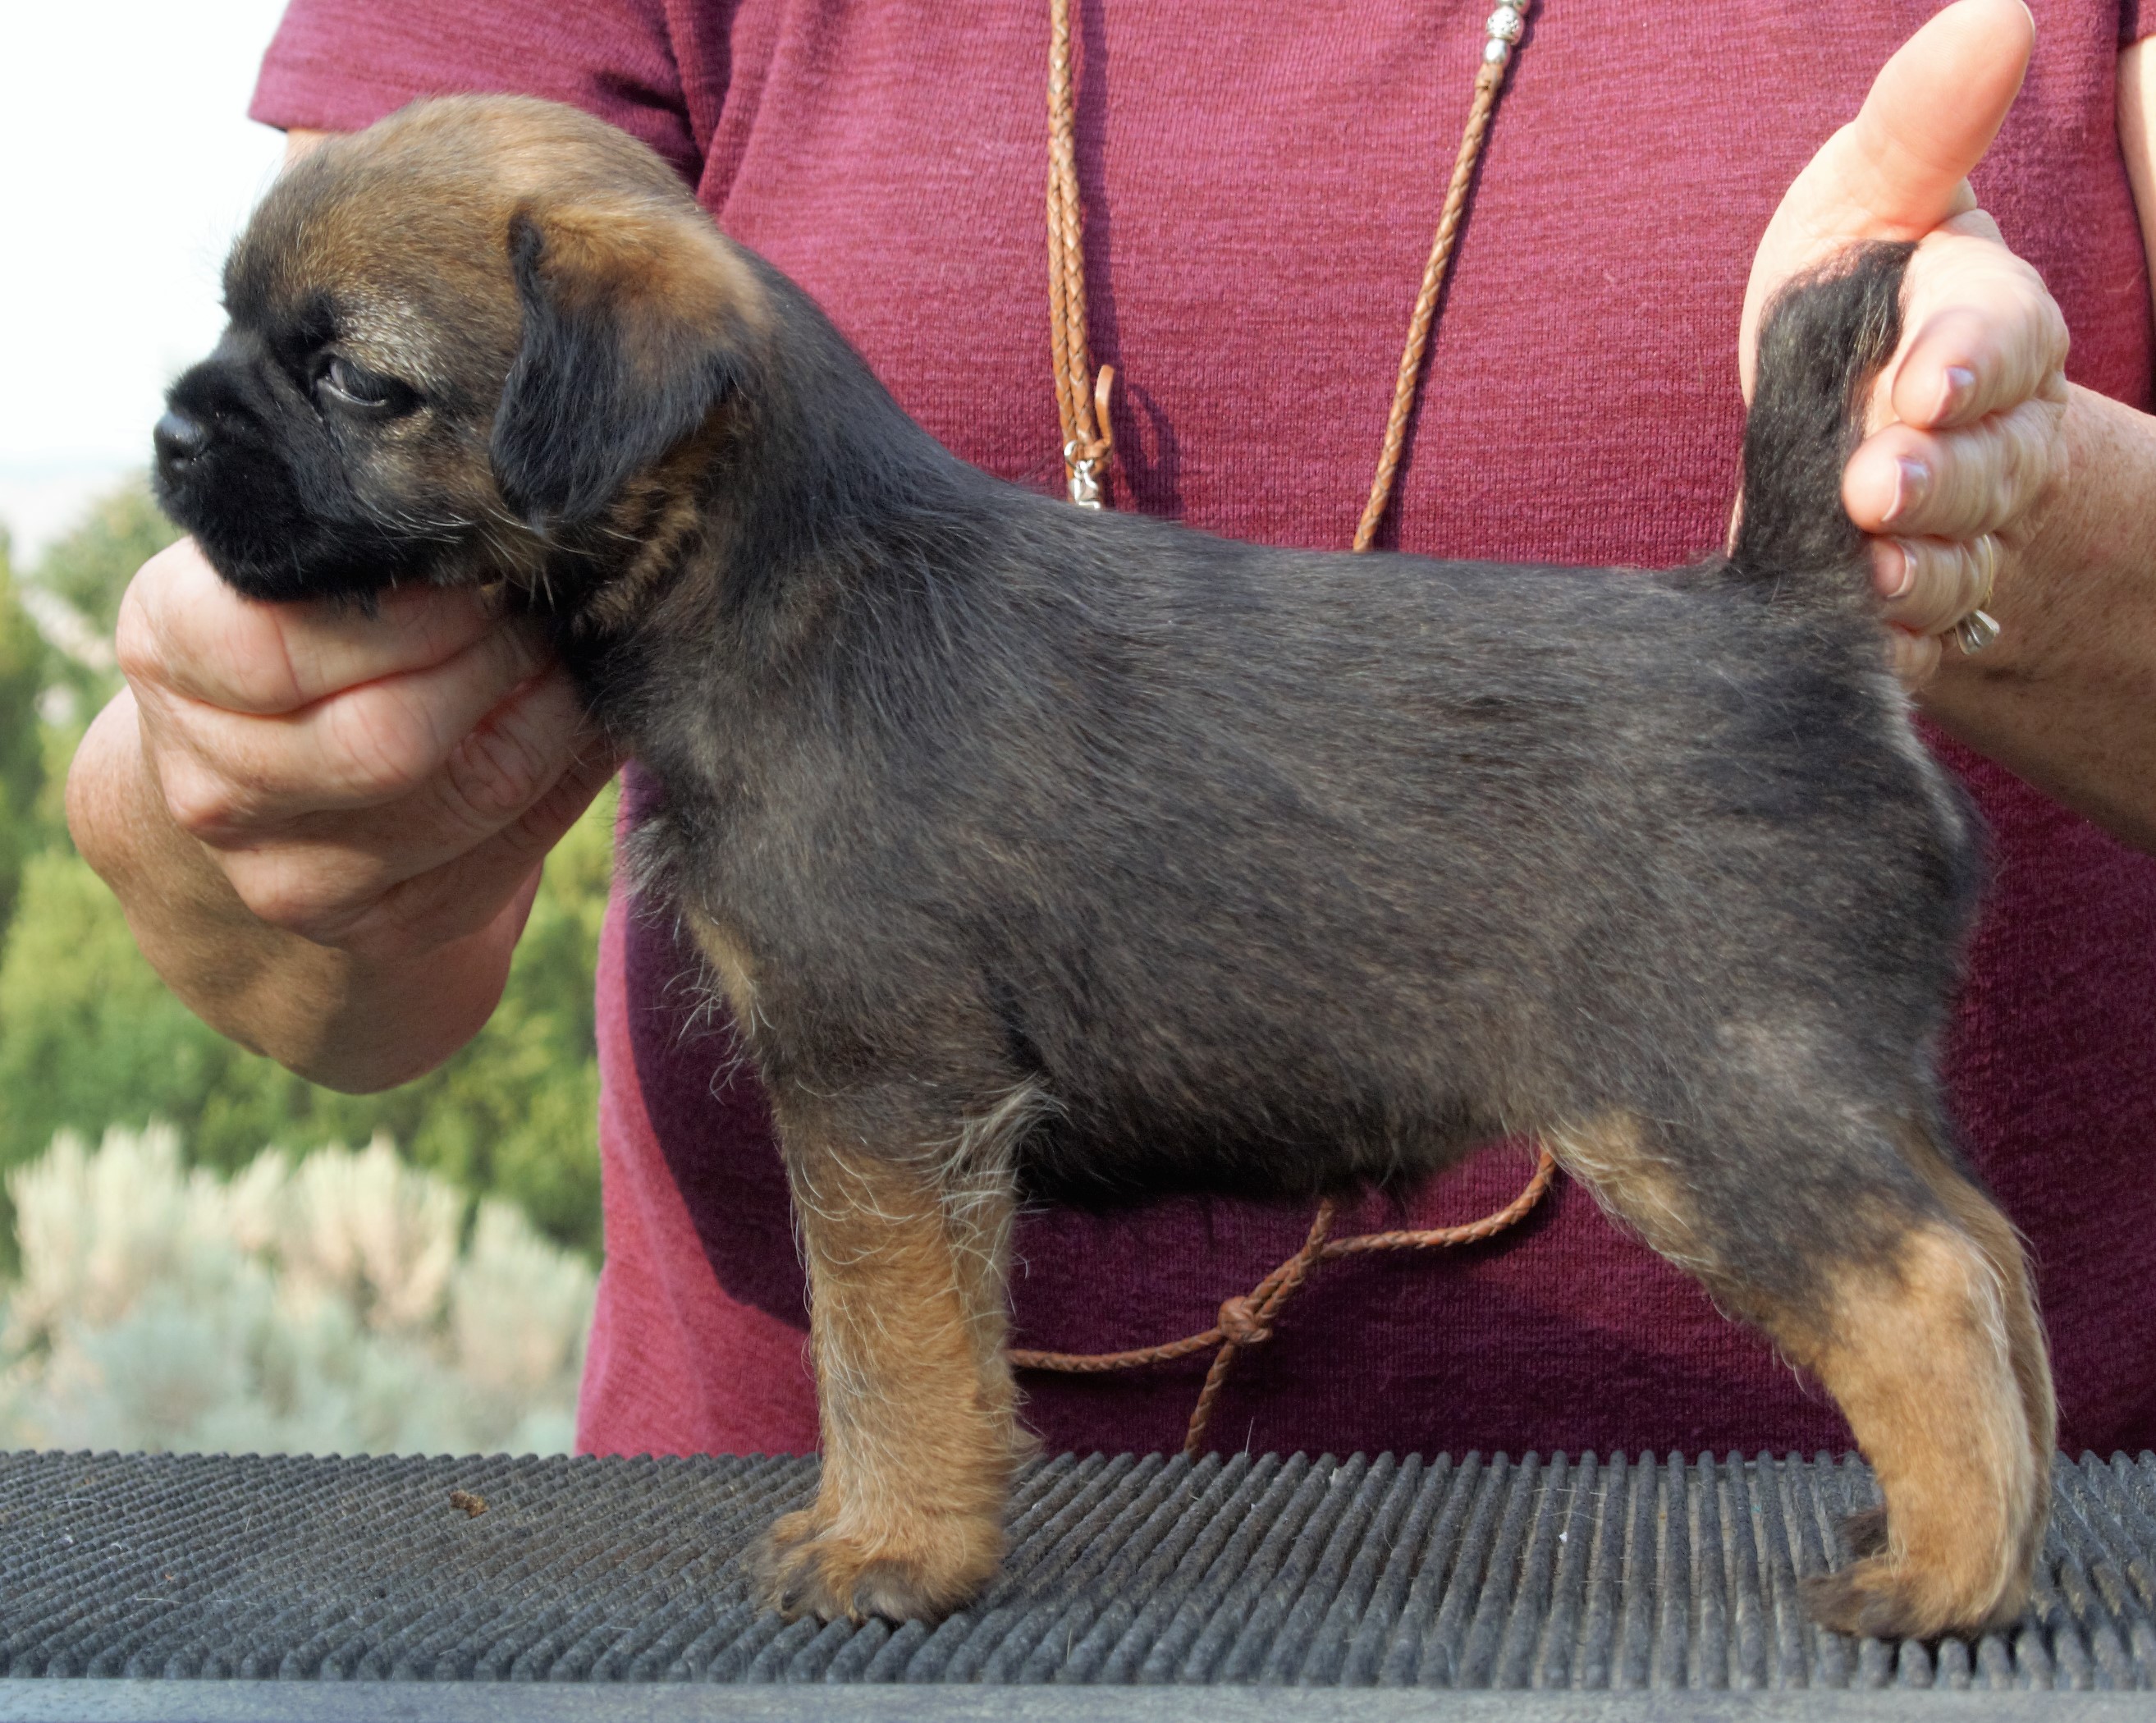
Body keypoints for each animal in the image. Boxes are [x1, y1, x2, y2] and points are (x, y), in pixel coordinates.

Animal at [156, 94, 2052, 1647]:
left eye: (353, 379)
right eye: (240, 324)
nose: (173, 435)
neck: (778, 572)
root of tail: (1790, 618)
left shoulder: (878, 1092)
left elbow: (887, 1345)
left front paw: (890, 1548)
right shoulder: (886, 1112)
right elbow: (899, 1340)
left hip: (1705, 1104)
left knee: (1919, 1286)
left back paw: (1940, 1576)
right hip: (1823, 1088)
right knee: (1987, 1255)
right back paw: (1991, 1536)